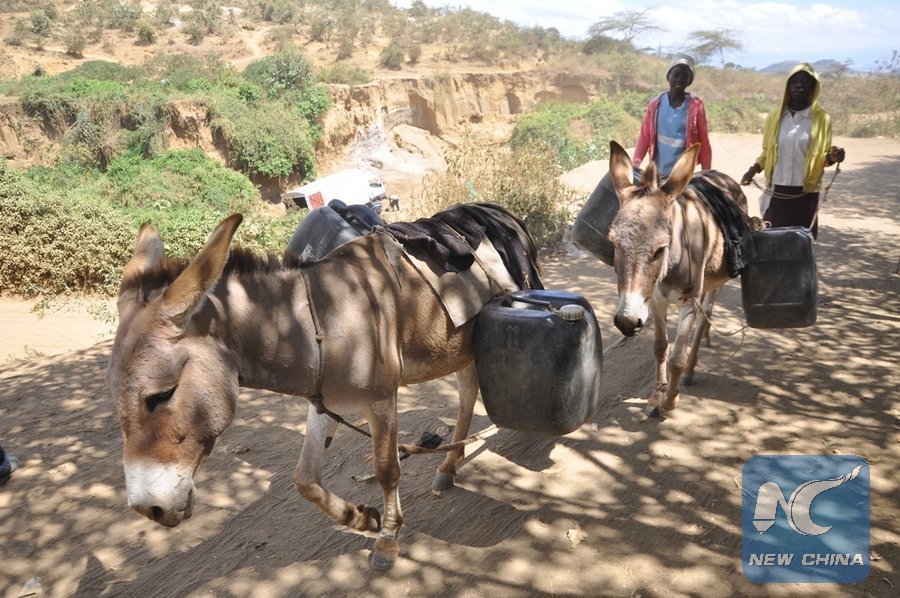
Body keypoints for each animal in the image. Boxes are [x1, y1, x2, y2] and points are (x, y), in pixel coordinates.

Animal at [106, 203, 542, 571]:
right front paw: (363, 518)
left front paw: (387, 542)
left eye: (161, 394)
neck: (322, 322)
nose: (147, 509)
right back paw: (449, 467)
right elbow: (304, 479)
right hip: (459, 347)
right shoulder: (324, 401)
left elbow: (387, 470)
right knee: (468, 391)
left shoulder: (381, 400)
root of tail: (498, 210)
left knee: (470, 392)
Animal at [606, 141, 749, 416]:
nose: (627, 322)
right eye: (614, 243)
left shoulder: (687, 301)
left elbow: (677, 358)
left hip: (715, 282)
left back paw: (692, 368)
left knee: (705, 317)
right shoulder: (654, 300)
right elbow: (660, 348)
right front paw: (655, 396)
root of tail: (724, 177)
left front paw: (670, 400)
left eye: (660, 249)